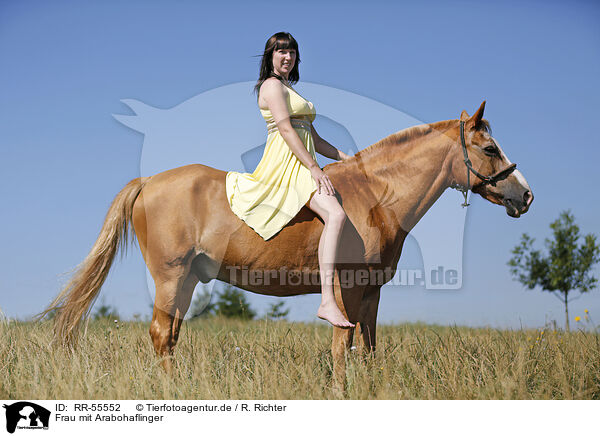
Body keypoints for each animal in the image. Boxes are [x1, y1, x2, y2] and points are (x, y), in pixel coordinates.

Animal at [39, 101, 532, 384]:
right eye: (490, 149)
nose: (525, 194)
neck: (376, 196)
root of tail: (149, 182)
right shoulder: (347, 289)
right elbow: (342, 346)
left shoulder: (371, 292)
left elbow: (368, 348)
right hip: (170, 277)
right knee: (162, 334)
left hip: (186, 282)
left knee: (171, 337)